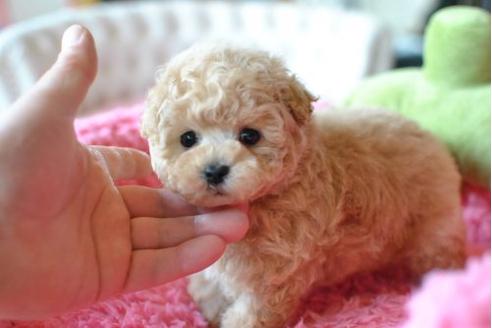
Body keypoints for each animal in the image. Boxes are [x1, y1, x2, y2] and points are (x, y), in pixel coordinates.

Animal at [141, 44, 466, 326]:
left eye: (250, 136)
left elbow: (252, 313)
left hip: (431, 225)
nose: (214, 170)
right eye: (187, 139)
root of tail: (431, 139)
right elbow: (209, 283)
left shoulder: (275, 276)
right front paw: (208, 308)